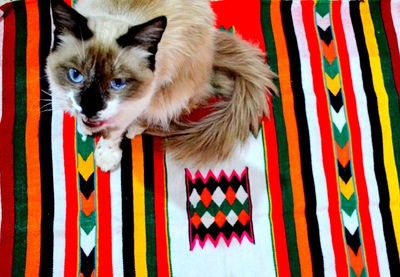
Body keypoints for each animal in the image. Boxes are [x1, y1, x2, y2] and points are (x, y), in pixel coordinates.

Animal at [45, 0, 276, 171]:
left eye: (118, 83)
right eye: (76, 75)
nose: (90, 108)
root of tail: (213, 47)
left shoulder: (134, 103)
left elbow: (114, 132)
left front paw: (107, 155)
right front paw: (84, 126)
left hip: (171, 94)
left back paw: (136, 128)